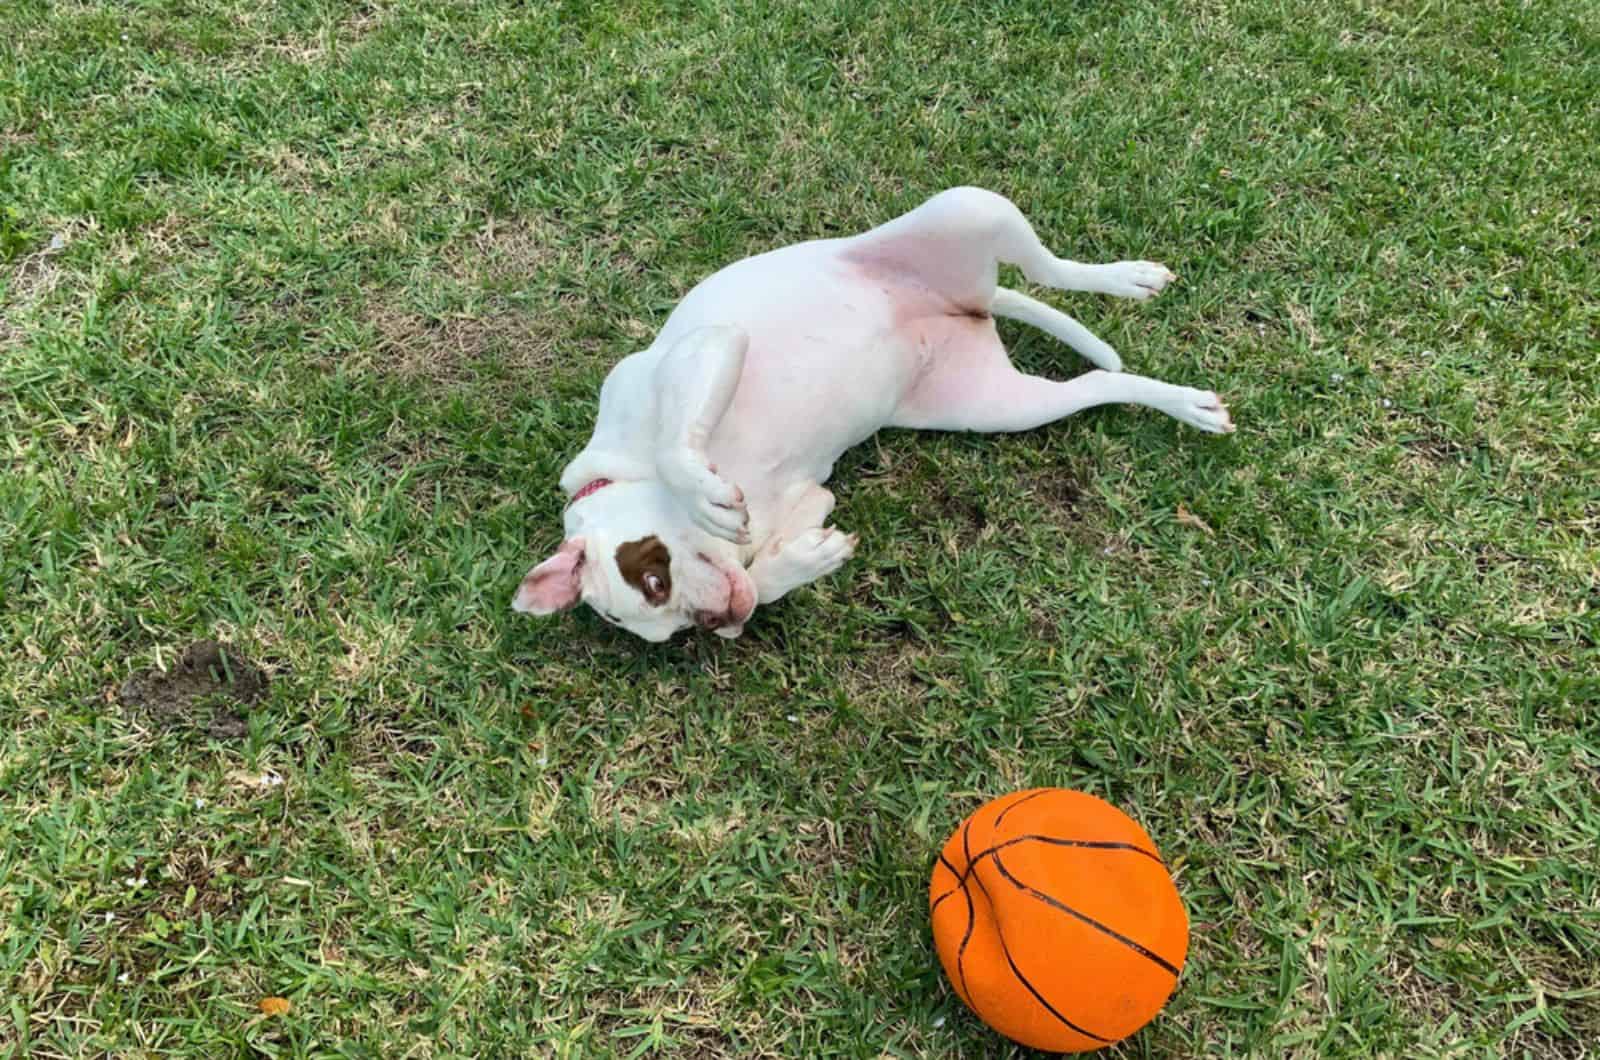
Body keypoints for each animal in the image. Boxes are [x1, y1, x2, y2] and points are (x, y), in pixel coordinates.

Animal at [505, 186, 1228, 643]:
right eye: (674, 630)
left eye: (654, 580)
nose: (718, 625)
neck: (622, 480)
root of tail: (969, 306)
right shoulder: (810, 500)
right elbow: (767, 571)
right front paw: (798, 566)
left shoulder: (708, 349)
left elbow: (676, 448)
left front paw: (707, 497)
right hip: (997, 405)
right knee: (1098, 382)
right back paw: (1185, 403)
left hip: (965, 208)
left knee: (1051, 268)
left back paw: (1128, 278)